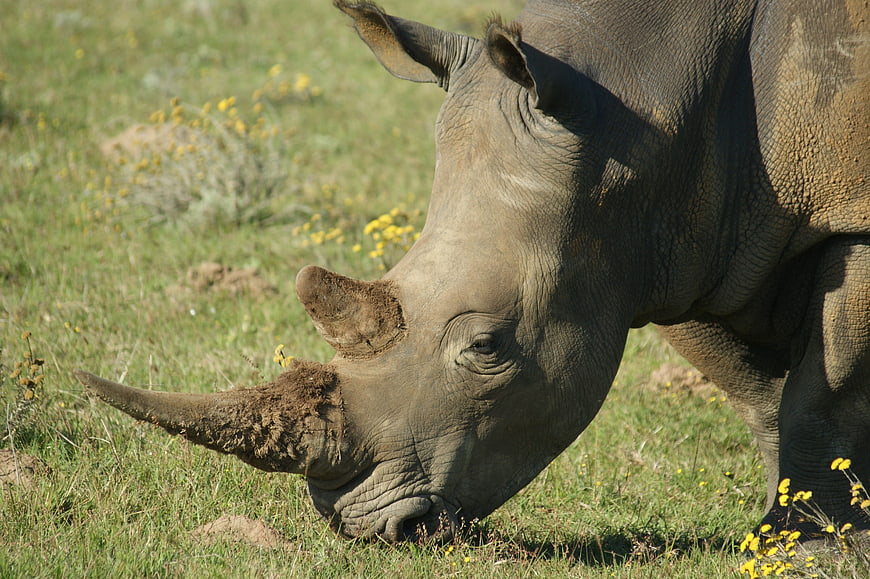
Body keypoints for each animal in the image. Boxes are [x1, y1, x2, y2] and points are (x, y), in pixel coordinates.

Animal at [75, 0, 869, 543]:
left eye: (488, 346)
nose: (364, 527)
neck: (641, 118)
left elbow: (820, 392)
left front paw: (810, 546)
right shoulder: (679, 238)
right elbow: (757, 391)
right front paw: (790, 531)